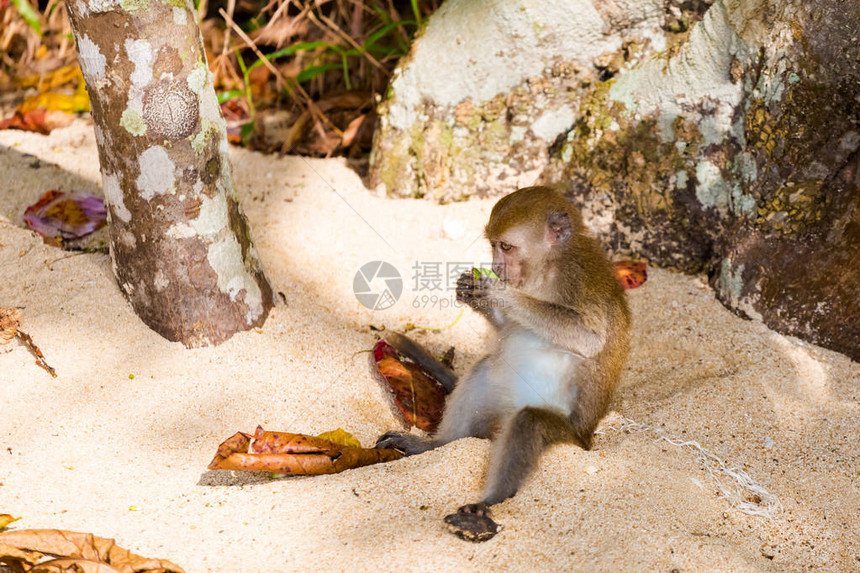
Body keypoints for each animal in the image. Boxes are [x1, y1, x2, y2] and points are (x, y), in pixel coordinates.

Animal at [376, 185, 632, 528]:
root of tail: (586, 437)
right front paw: (471, 291)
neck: (546, 267)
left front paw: (498, 293)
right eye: (493, 245)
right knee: (483, 371)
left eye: (506, 247)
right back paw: (437, 444)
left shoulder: (576, 279)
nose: (497, 268)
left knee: (529, 421)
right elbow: (505, 327)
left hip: (566, 434)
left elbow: (589, 339)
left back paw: (491, 499)